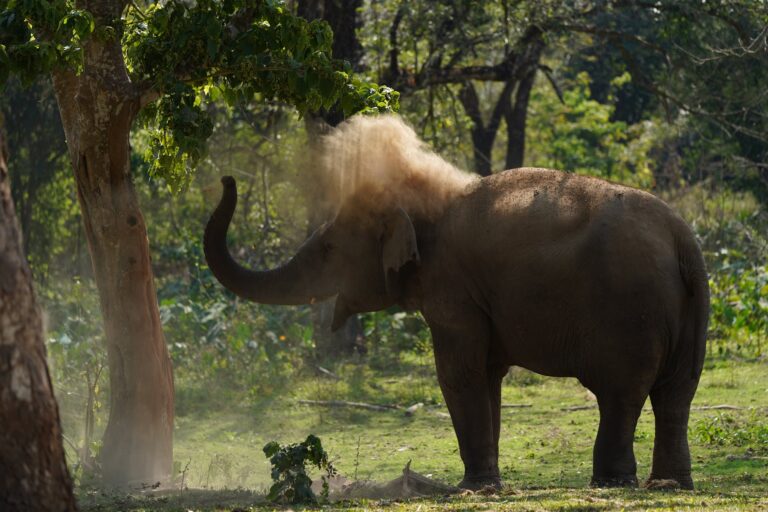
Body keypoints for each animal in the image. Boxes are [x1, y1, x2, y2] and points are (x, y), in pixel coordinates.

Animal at [203, 115, 709, 490]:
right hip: (689, 310)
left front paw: (474, 487)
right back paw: (670, 484)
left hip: (628, 310)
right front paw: (486, 482)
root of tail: (681, 237)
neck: (426, 201)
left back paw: (612, 483)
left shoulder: (452, 289)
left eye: (328, 248)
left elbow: (458, 371)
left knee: (620, 393)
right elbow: (487, 374)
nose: (225, 178)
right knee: (677, 392)